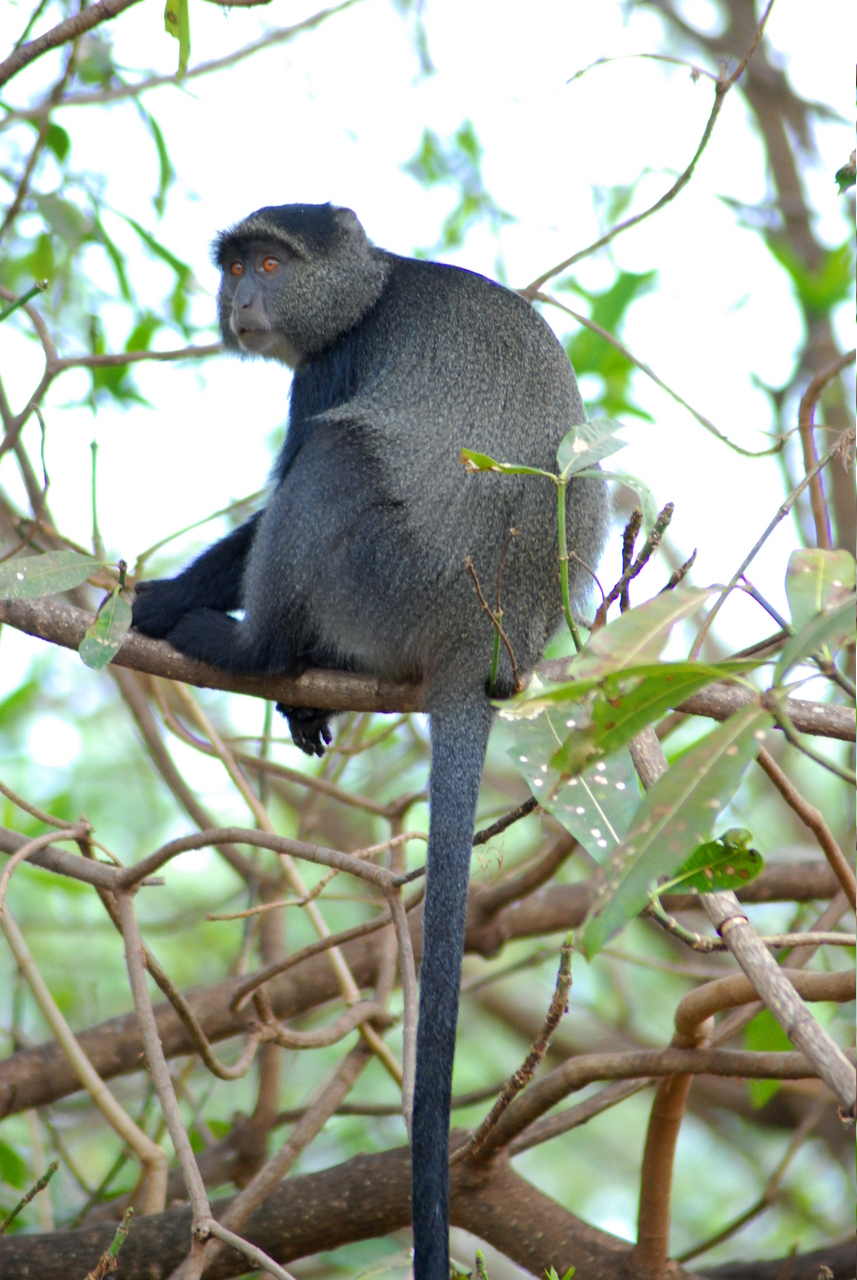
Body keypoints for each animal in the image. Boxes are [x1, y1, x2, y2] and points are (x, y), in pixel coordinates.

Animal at [131, 202, 608, 1279]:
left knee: (330, 461)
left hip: (388, 570)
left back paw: (257, 646)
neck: (377, 280)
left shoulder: (328, 369)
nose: (240, 299)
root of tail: (487, 637)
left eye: (269, 264)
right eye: (231, 267)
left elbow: (288, 472)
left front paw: (163, 600)